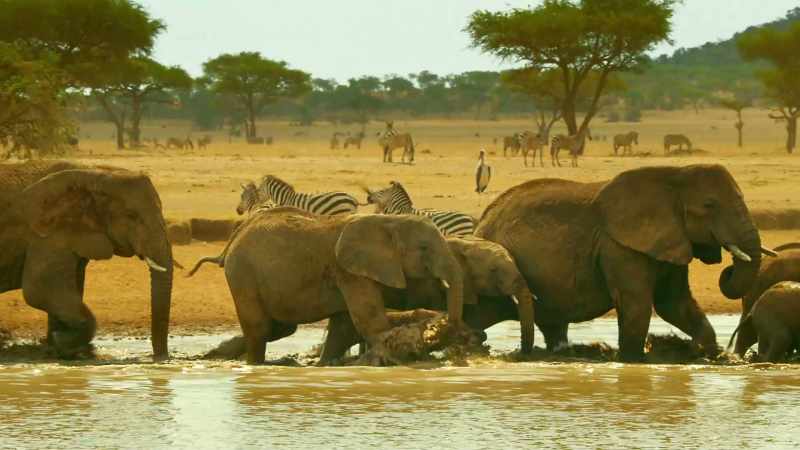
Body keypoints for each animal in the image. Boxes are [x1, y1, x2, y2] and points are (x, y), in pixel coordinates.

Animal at [0, 161, 173, 359]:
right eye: (132, 216)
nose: (161, 358)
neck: (92, 173)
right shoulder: (49, 233)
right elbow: (41, 288)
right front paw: (64, 343)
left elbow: (68, 288)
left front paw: (59, 347)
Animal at [190, 206, 464, 365]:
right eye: (424, 248)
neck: (388, 220)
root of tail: (231, 241)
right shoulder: (349, 271)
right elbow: (369, 319)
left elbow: (343, 326)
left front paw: (325, 366)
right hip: (242, 273)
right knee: (260, 328)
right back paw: (253, 365)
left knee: (279, 328)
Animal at [476, 164, 774, 362]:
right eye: (710, 205)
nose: (728, 268)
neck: (673, 175)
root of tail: (482, 221)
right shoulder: (619, 247)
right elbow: (638, 305)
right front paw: (632, 361)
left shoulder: (671, 238)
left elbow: (674, 303)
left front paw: (713, 356)